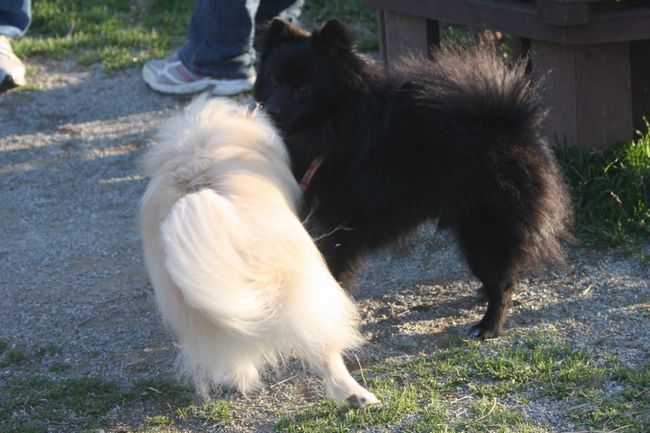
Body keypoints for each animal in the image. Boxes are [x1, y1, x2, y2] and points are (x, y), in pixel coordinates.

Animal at [139, 95, 378, 407]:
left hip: (205, 316)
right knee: (325, 351)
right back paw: (355, 395)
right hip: (308, 292)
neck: (197, 149)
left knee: (232, 353)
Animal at [254, 18, 573, 339]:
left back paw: (488, 326)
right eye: (274, 83)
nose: (271, 110)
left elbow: (333, 267)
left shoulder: (338, 227)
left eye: (303, 89)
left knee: (504, 283)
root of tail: (514, 123)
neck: (337, 124)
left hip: (486, 230)